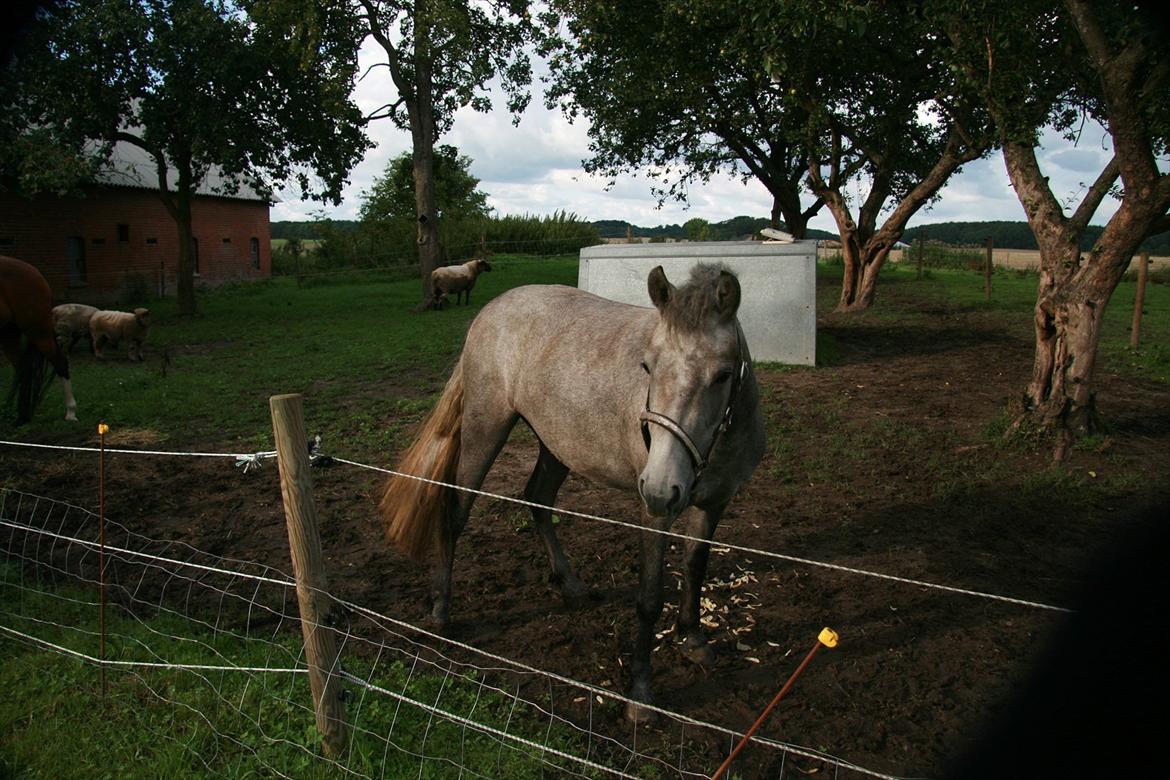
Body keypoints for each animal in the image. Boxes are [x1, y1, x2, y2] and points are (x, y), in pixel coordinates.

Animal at [1, 256, 76, 423]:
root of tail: (34, 271)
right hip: (9, 333)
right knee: (22, 369)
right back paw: (21, 417)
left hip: (38, 331)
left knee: (60, 362)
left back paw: (70, 412)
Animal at [376, 261, 767, 720]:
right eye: (647, 367)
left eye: (722, 375)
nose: (659, 485)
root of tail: (491, 309)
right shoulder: (654, 514)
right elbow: (650, 597)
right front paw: (640, 695)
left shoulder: (714, 503)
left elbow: (694, 567)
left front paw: (693, 640)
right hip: (484, 428)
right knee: (456, 511)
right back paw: (441, 608)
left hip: (557, 444)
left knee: (537, 498)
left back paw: (571, 585)